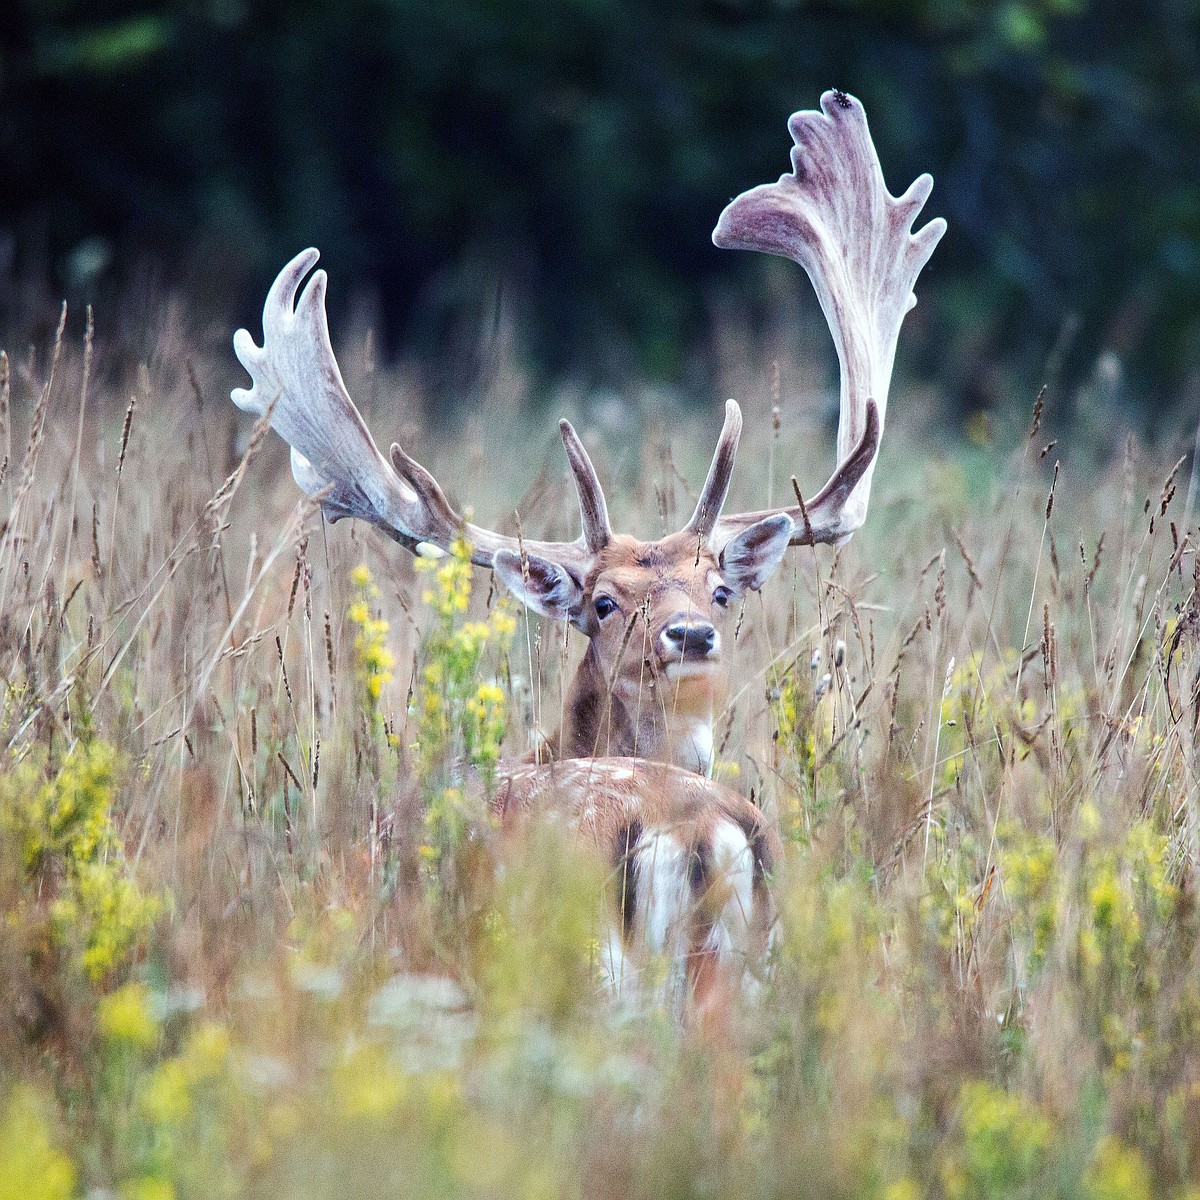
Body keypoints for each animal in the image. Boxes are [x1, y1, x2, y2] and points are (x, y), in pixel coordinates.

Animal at [231, 93, 945, 1008]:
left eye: (720, 591)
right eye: (603, 602)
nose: (690, 637)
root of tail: (703, 833)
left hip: (588, 966)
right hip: (751, 969)